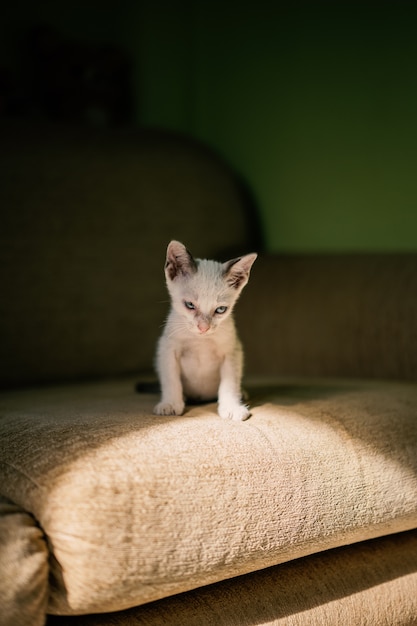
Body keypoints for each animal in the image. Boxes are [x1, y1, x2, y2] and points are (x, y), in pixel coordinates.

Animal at [154, 239, 256, 420]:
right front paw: (171, 403)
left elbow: (230, 383)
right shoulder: (167, 348)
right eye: (190, 305)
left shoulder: (232, 351)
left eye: (221, 309)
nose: (203, 328)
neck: (199, 340)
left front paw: (232, 407)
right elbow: (170, 378)